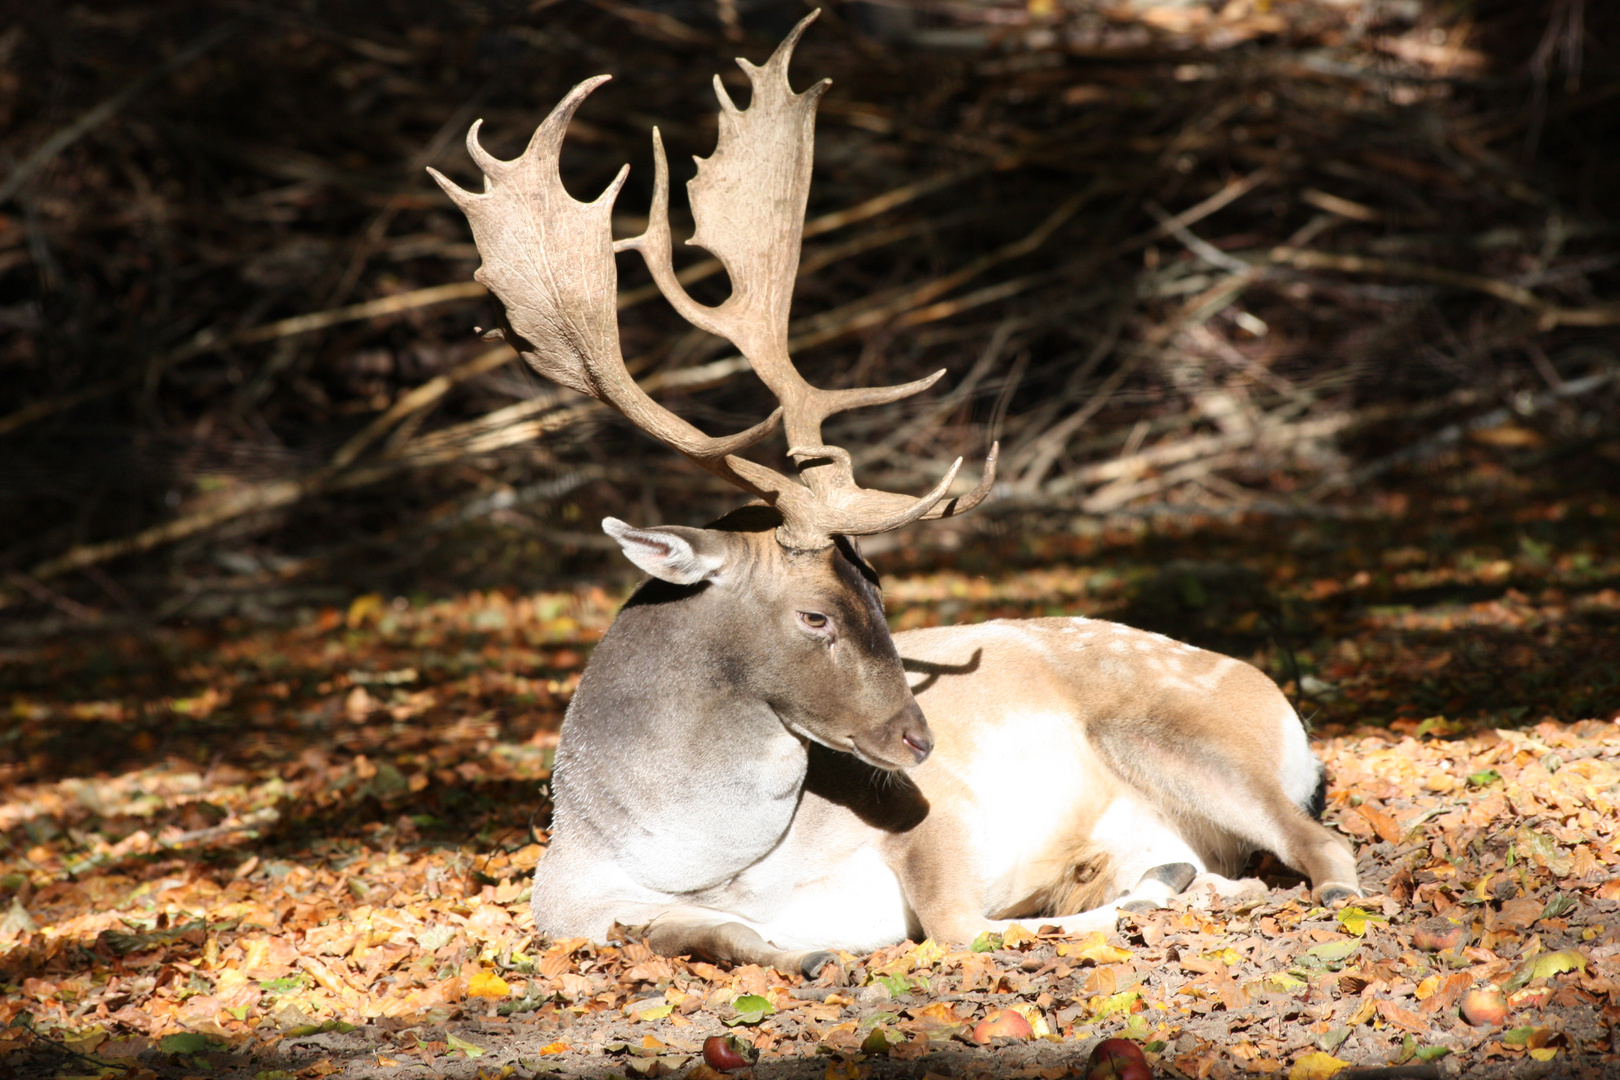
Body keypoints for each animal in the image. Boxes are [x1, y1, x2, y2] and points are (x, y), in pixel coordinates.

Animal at [427, 14, 1354, 977]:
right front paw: (800, 955)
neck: (698, 861)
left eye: (880, 595)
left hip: (1183, 732)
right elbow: (716, 936)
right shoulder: (575, 909)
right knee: (1218, 873)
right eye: (815, 616)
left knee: (1321, 847)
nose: (919, 741)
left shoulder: (932, 814)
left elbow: (955, 923)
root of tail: (1277, 703)